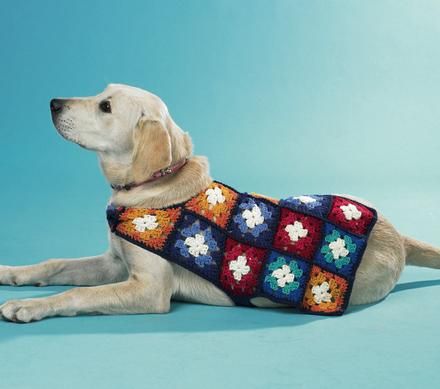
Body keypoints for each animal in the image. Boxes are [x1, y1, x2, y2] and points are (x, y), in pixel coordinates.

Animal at [0, 84, 440, 322]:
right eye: (99, 94)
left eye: (105, 107)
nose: (54, 102)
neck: (148, 187)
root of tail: (395, 232)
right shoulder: (113, 263)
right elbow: (55, 265)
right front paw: (13, 274)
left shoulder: (149, 289)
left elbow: (78, 294)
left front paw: (29, 307)